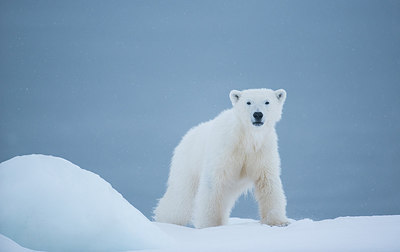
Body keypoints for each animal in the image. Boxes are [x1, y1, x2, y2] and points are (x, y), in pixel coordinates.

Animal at [153, 88, 288, 228]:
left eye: (267, 102)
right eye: (248, 102)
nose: (257, 114)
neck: (247, 137)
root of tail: (185, 138)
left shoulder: (262, 151)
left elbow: (268, 182)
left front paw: (278, 222)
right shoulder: (225, 148)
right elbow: (213, 183)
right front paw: (209, 225)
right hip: (187, 163)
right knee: (181, 197)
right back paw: (165, 220)